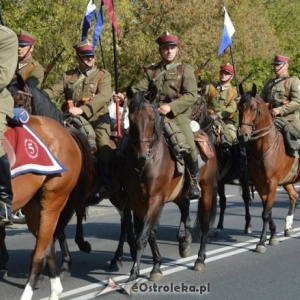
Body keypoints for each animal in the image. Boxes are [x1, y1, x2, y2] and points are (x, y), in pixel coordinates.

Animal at [122, 85, 218, 282]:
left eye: (152, 118)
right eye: (130, 119)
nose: (141, 155)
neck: (146, 163)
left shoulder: (155, 200)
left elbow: (143, 236)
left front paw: (134, 274)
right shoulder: (137, 202)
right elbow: (148, 234)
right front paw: (156, 266)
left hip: (206, 190)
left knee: (204, 224)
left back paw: (200, 259)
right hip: (177, 193)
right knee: (185, 206)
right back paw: (184, 241)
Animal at [191, 94, 252, 234]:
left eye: (197, 103)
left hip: (244, 176)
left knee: (246, 198)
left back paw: (248, 225)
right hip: (223, 181)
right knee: (223, 201)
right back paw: (219, 226)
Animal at [238, 84, 298, 253]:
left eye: (253, 108)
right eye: (239, 107)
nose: (242, 135)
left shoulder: (272, 183)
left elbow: (266, 213)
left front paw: (261, 242)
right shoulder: (260, 184)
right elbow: (267, 210)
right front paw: (272, 236)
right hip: (288, 180)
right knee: (294, 196)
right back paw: (288, 226)